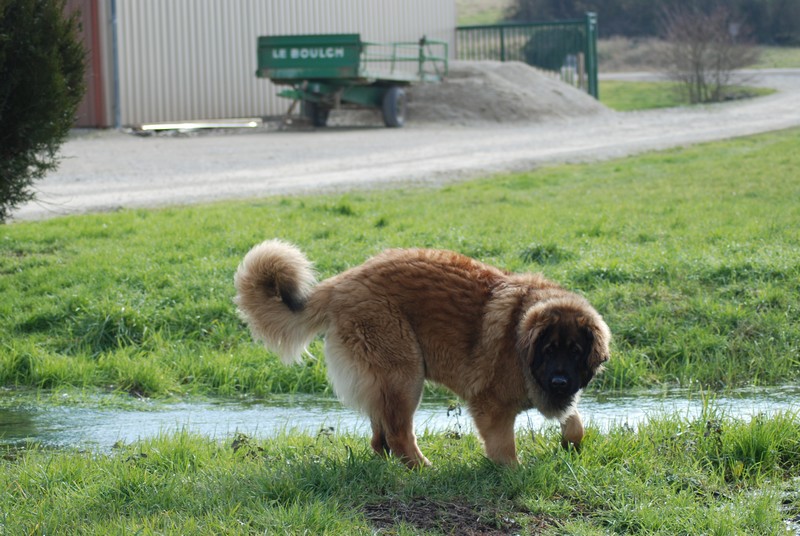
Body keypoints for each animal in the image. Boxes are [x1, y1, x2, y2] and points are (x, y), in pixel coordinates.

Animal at [234, 241, 608, 466]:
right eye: (548, 350)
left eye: (576, 352)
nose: (559, 381)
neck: (519, 340)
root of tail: (341, 283)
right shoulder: (491, 407)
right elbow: (505, 450)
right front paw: (513, 473)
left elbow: (575, 423)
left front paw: (570, 446)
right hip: (404, 374)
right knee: (399, 432)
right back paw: (421, 467)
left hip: (387, 378)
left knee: (380, 432)